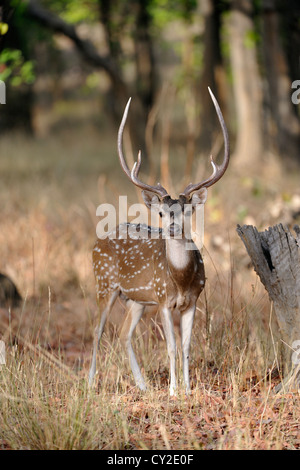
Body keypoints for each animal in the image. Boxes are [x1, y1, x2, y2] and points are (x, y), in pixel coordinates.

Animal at [89, 87, 230, 392]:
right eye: (163, 213)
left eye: (188, 210)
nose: (173, 227)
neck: (180, 280)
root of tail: (96, 242)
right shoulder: (164, 299)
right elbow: (172, 346)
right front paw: (174, 390)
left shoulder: (194, 299)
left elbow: (187, 345)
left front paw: (188, 389)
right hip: (104, 283)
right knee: (97, 329)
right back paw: (90, 383)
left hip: (137, 300)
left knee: (123, 333)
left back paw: (142, 385)